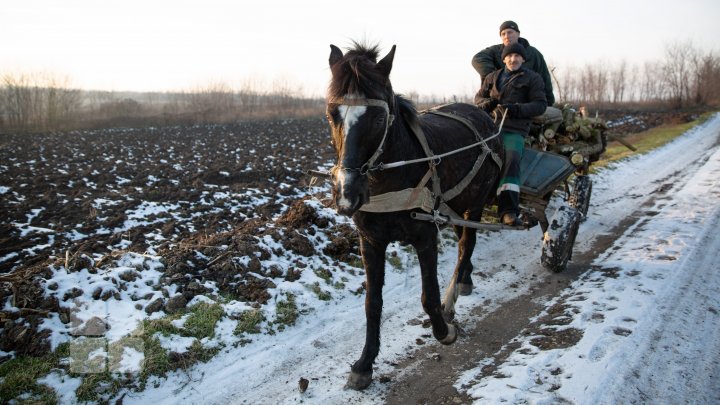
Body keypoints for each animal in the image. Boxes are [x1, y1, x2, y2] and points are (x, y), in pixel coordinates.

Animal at [324, 41, 500, 388]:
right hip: (455, 206)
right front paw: (365, 363)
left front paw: (444, 331)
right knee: (464, 241)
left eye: (379, 117)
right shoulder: (370, 241)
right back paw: (465, 280)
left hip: (475, 202)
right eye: (331, 112)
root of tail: (481, 114)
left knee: (466, 245)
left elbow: (428, 296)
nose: (347, 194)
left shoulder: (425, 235)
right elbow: (372, 303)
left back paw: (454, 296)